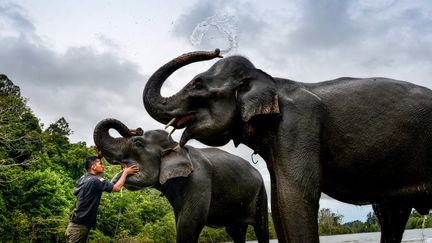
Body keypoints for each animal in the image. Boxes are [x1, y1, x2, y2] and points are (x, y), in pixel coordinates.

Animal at [93, 118, 268, 243]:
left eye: (138, 143)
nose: (137, 129)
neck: (176, 145)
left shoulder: (199, 180)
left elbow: (188, 225)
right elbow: (180, 222)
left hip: (262, 193)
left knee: (261, 229)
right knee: (235, 232)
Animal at [143, 48, 432, 242]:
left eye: (197, 84)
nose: (215, 50)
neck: (272, 82)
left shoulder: (299, 124)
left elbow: (293, 196)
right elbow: (280, 201)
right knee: (391, 213)